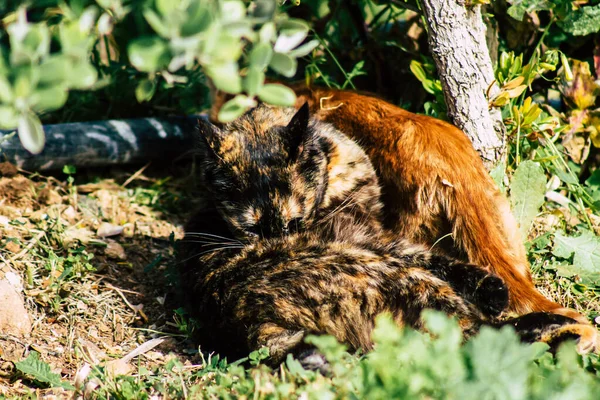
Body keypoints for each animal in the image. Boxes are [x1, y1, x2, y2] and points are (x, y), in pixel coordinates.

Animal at [180, 104, 596, 366]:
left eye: (293, 224)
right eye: (250, 229)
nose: (281, 244)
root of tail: (254, 327)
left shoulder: (375, 234)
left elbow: (440, 258)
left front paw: (491, 288)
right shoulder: (373, 241)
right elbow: (434, 260)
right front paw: (496, 294)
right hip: (387, 274)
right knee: (473, 334)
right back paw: (561, 331)